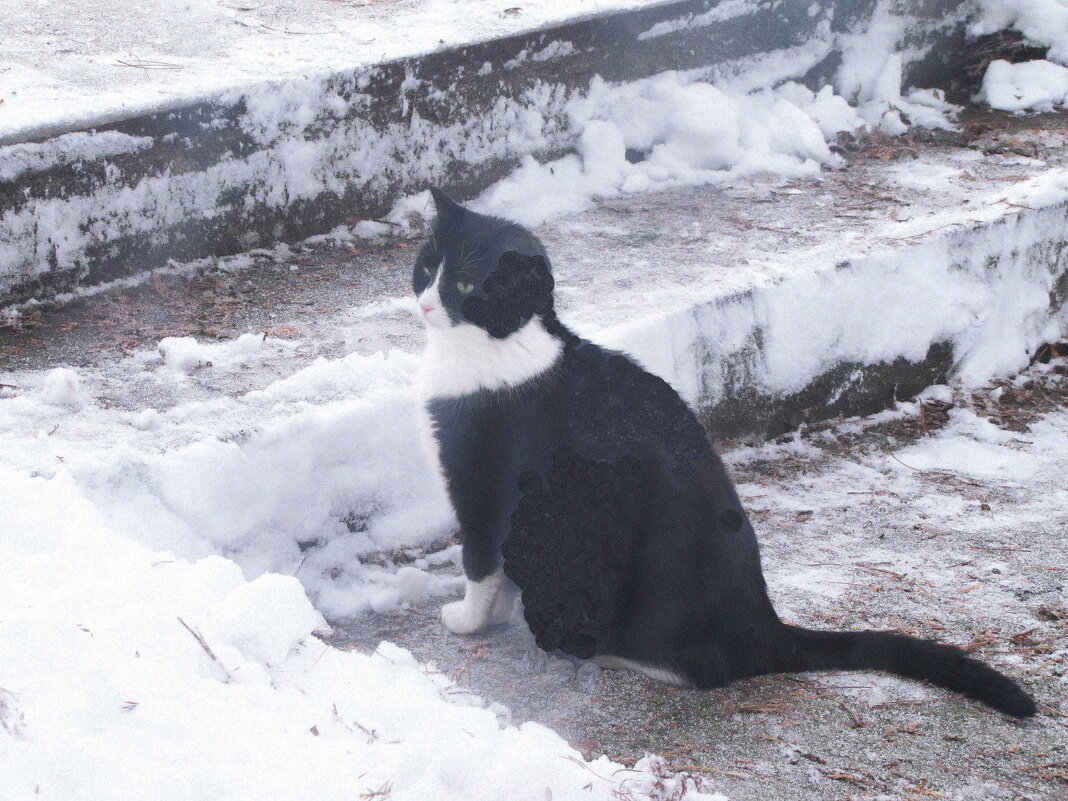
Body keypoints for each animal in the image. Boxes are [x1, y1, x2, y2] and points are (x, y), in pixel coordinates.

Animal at [412, 187, 1038, 721]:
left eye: (467, 287)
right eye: (425, 268)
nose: (424, 306)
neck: (504, 346)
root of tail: (765, 626)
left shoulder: (483, 480)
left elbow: (479, 560)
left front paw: (467, 620)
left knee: (707, 668)